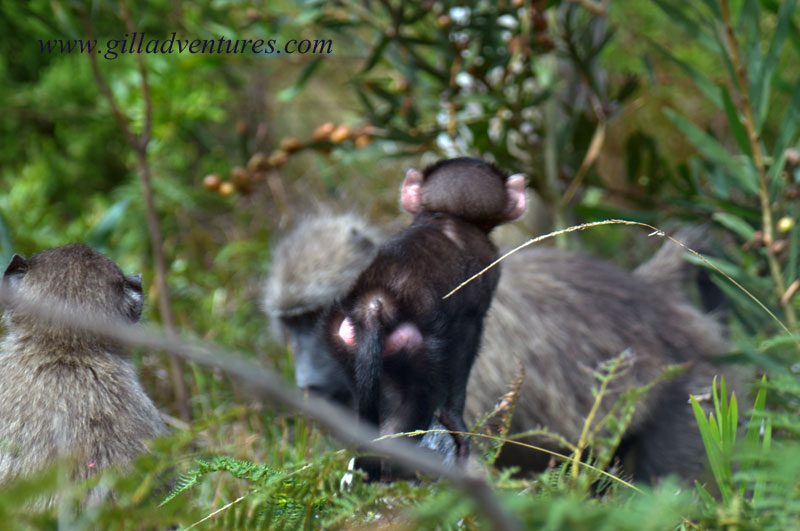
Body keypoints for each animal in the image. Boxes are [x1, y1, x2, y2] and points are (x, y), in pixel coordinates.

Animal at [324, 158, 527, 480]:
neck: (449, 217)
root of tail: (374, 301)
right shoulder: (488, 274)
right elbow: (463, 350)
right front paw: (456, 423)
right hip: (414, 348)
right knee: (409, 411)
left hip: (342, 341)